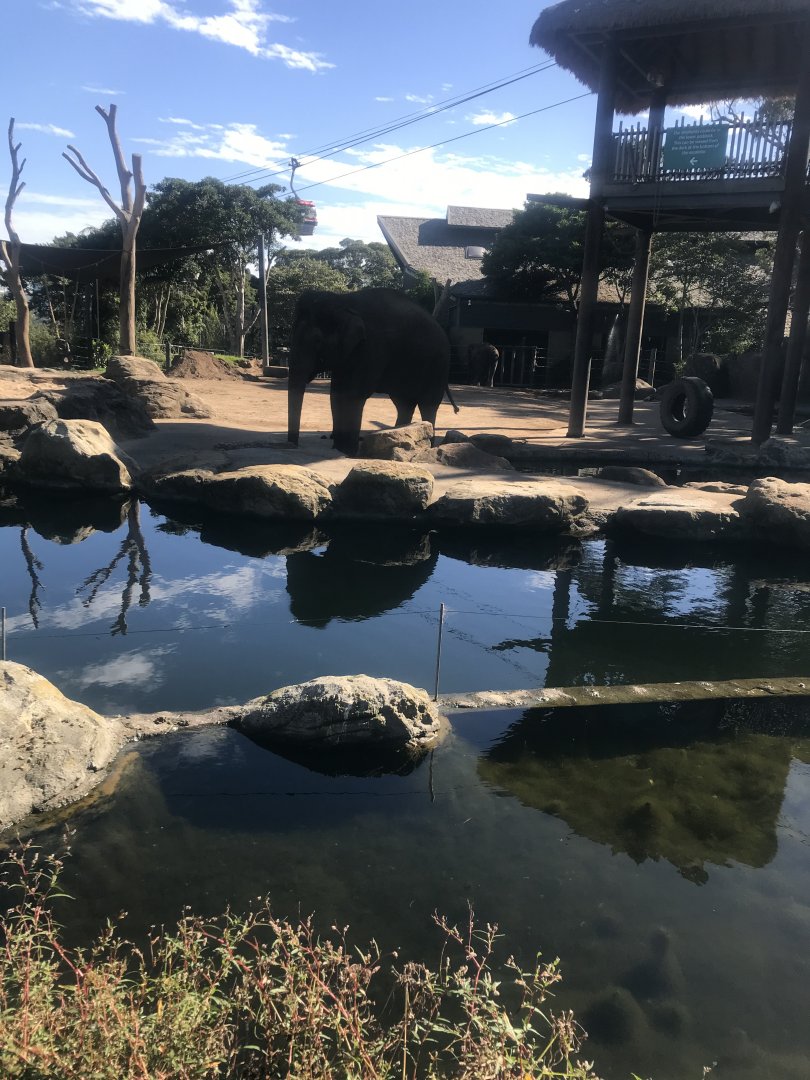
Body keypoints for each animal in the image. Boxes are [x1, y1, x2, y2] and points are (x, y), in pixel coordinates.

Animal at [287, 287, 457, 456]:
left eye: (317, 341)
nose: (292, 445)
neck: (343, 301)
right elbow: (336, 393)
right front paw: (339, 449)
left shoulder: (371, 348)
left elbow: (352, 393)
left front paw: (347, 452)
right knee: (403, 403)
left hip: (438, 366)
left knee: (428, 403)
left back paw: (427, 443)